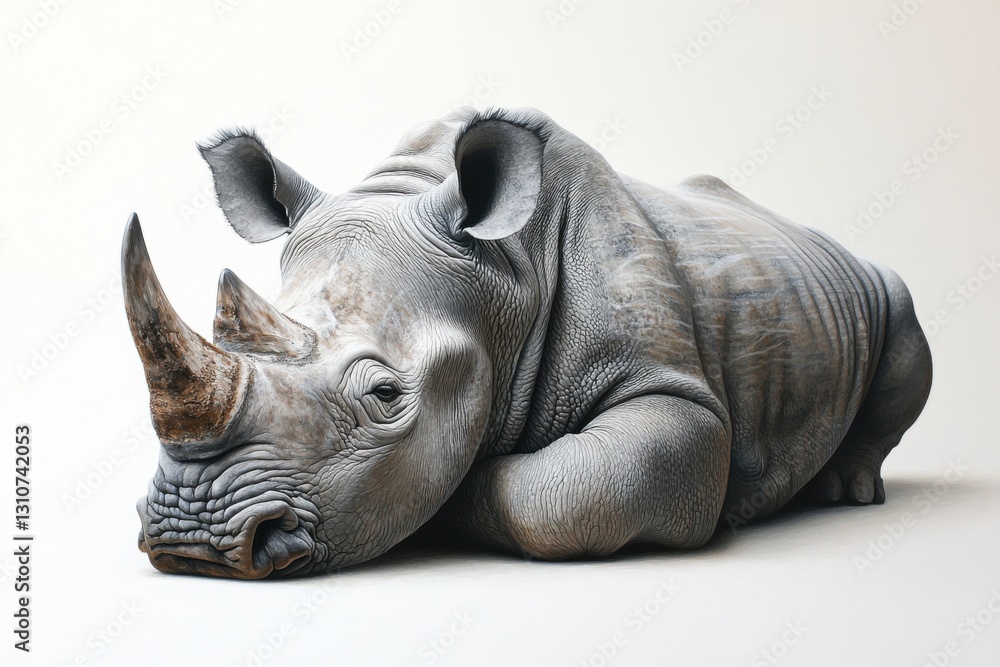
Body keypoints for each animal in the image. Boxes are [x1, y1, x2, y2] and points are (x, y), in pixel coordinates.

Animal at [126, 106, 932, 579]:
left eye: (385, 395)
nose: (194, 538)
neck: (504, 275)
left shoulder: (672, 390)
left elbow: (571, 495)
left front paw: (458, 500)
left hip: (882, 285)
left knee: (904, 328)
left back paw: (849, 493)